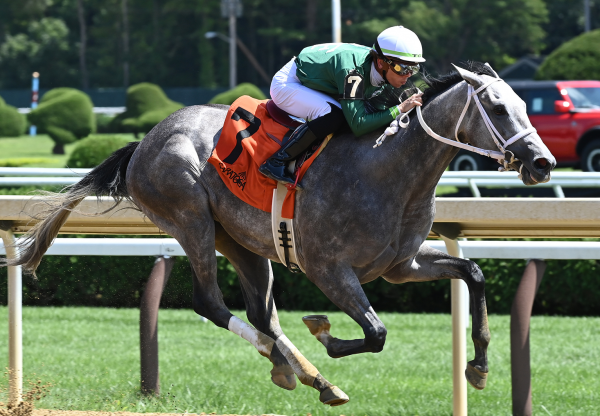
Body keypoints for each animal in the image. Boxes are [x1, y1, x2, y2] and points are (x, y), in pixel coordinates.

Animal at [7, 62, 556, 406]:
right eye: (500, 109)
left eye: (524, 105)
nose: (542, 163)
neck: (389, 170)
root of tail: (144, 141)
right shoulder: (328, 268)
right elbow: (375, 333)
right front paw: (326, 332)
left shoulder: (401, 266)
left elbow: (473, 272)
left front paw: (479, 366)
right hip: (189, 218)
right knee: (211, 302)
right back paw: (295, 365)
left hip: (243, 242)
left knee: (261, 313)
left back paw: (306, 376)